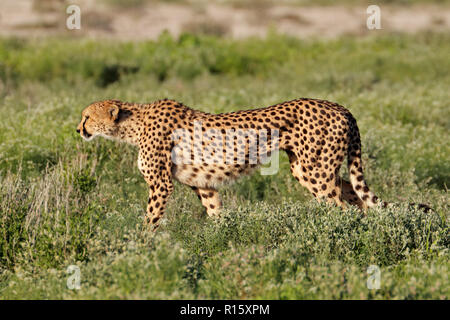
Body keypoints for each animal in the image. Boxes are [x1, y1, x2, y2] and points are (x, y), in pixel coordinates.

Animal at [77, 99, 432, 229]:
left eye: (86, 116)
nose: (78, 129)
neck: (131, 124)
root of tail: (340, 106)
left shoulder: (161, 184)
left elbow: (150, 219)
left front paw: (138, 247)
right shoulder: (203, 184)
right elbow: (216, 214)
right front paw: (222, 241)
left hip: (316, 171)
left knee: (341, 206)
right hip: (306, 169)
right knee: (355, 196)